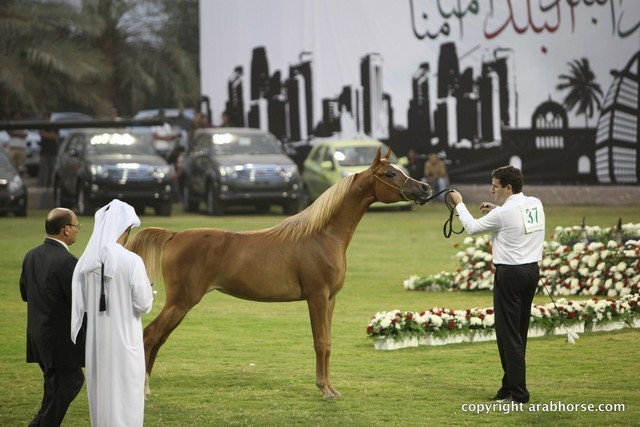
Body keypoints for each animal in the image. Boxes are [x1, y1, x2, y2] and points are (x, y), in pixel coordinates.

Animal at [126, 147, 432, 399]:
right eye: (391, 173)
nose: (425, 188)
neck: (323, 234)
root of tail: (174, 235)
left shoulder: (330, 300)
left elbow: (329, 343)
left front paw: (332, 388)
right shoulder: (316, 297)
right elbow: (320, 342)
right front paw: (324, 390)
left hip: (181, 304)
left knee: (158, 338)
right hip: (181, 301)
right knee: (150, 335)